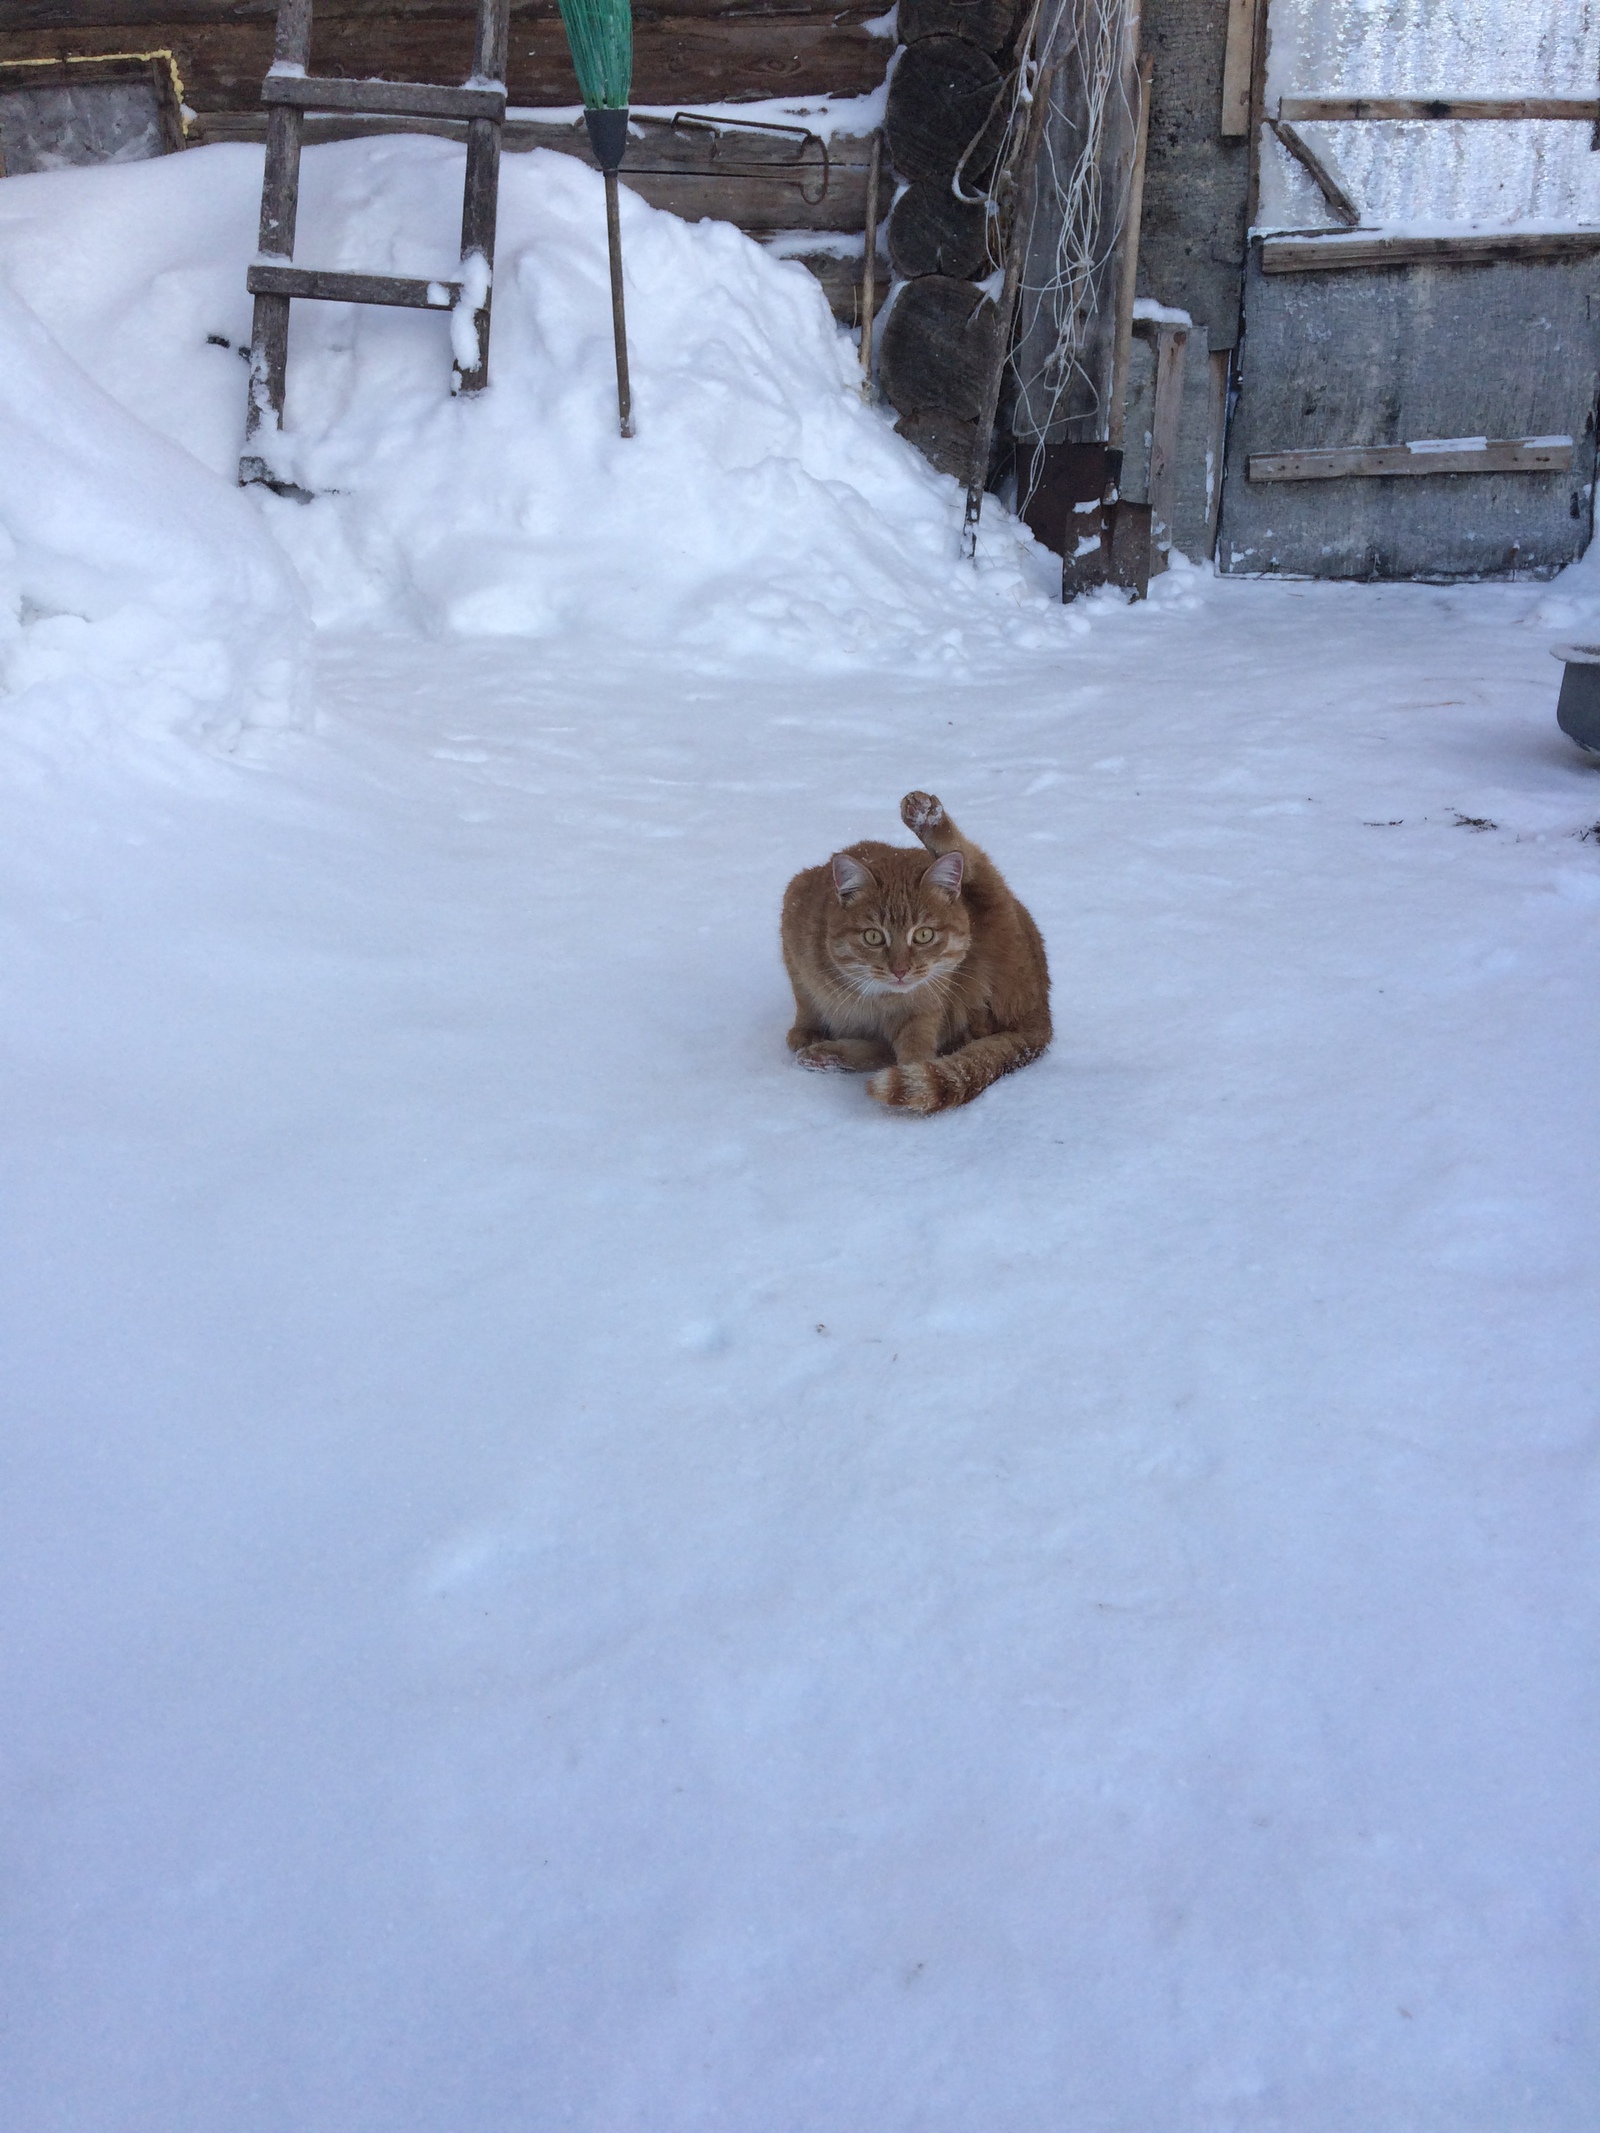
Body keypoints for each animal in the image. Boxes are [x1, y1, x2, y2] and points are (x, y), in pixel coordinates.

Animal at [780, 789, 1053, 1117]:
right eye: (873, 937)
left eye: (924, 935)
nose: (900, 970)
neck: (872, 998)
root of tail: (1041, 1015)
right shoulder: (793, 923)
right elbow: (805, 999)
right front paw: (806, 1031)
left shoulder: (924, 1006)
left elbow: (915, 1051)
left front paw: (913, 1086)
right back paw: (829, 1054)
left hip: (996, 913)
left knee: (976, 864)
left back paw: (928, 818)